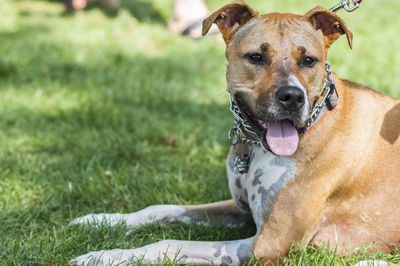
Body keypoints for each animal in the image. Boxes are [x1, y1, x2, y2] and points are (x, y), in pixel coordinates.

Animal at [69, 1, 400, 264]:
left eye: (308, 60)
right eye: (256, 57)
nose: (292, 96)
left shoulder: (267, 245)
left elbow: (170, 243)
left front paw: (106, 256)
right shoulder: (240, 211)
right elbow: (161, 208)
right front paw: (101, 220)